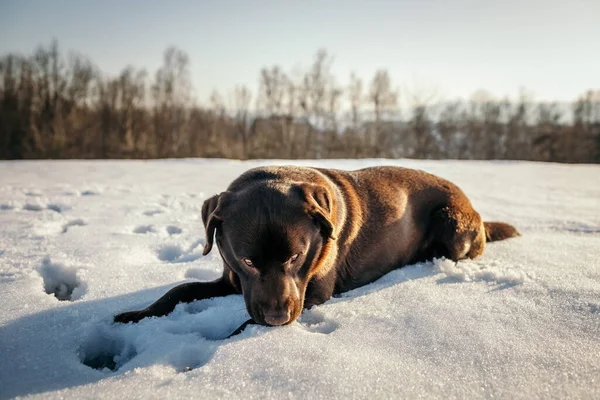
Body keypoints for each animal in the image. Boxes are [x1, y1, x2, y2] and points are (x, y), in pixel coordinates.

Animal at [113, 165, 520, 328]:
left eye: (295, 256)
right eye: (248, 260)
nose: (278, 318)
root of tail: (475, 209)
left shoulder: (312, 292)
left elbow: (244, 324)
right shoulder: (232, 279)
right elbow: (178, 290)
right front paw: (133, 316)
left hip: (452, 221)